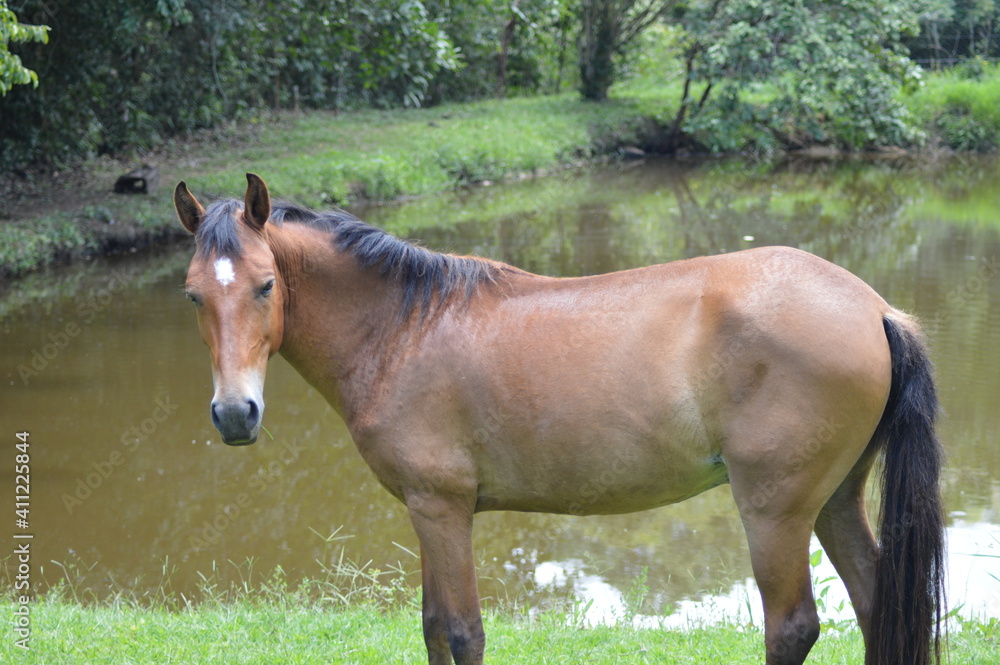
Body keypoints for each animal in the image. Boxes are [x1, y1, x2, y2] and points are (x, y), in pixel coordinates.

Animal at [174, 173, 945, 665]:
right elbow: (432, 628)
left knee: (792, 629)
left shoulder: (442, 508)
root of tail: (875, 308)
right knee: (877, 604)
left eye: (265, 285)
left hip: (775, 509)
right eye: (192, 296)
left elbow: (462, 632)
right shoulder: (427, 510)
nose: (235, 414)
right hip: (834, 500)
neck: (402, 327)